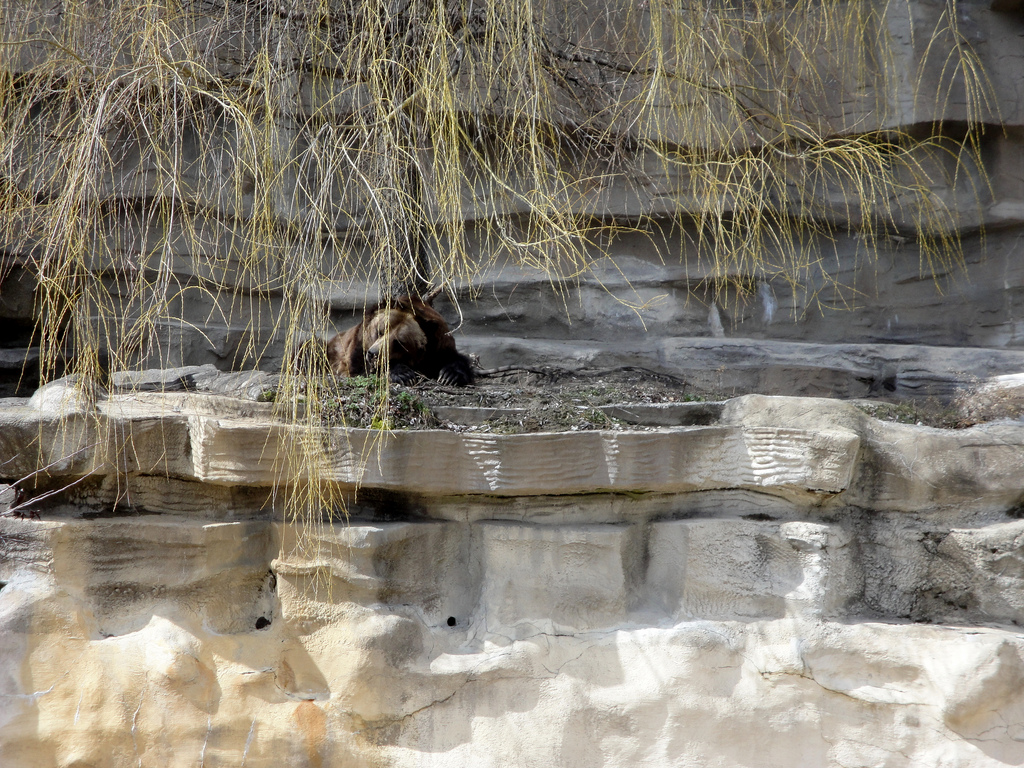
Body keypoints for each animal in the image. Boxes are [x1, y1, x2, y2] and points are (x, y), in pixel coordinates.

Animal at [326, 294, 474, 386]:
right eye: (380, 331)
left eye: (399, 342)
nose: (373, 354)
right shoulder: (358, 347)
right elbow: (361, 369)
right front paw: (404, 375)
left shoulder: (439, 345)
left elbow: (455, 359)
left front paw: (449, 376)